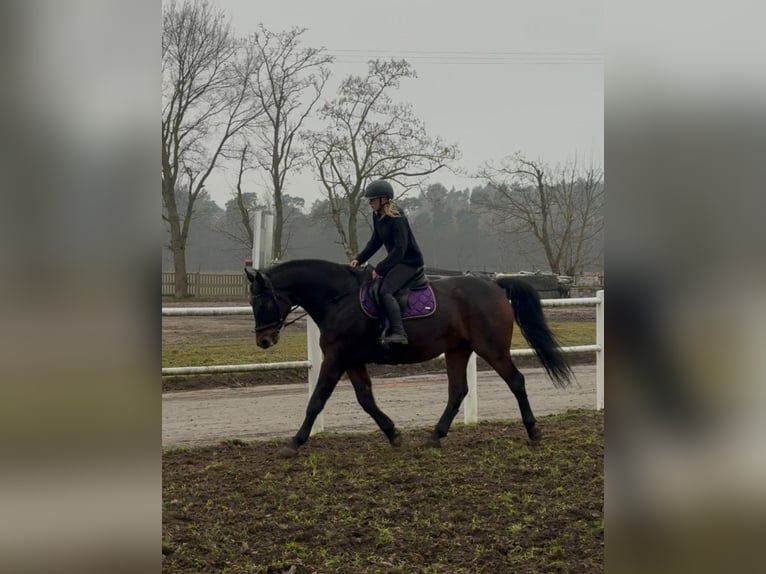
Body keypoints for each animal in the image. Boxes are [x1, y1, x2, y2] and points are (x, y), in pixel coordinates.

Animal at [245, 259, 573, 457]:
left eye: (261, 301)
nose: (263, 340)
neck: (339, 299)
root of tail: (494, 285)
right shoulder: (351, 360)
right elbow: (366, 399)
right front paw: (393, 434)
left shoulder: (337, 358)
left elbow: (317, 399)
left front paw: (294, 442)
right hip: (458, 350)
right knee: (458, 391)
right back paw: (435, 436)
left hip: (492, 349)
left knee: (516, 382)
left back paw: (533, 430)